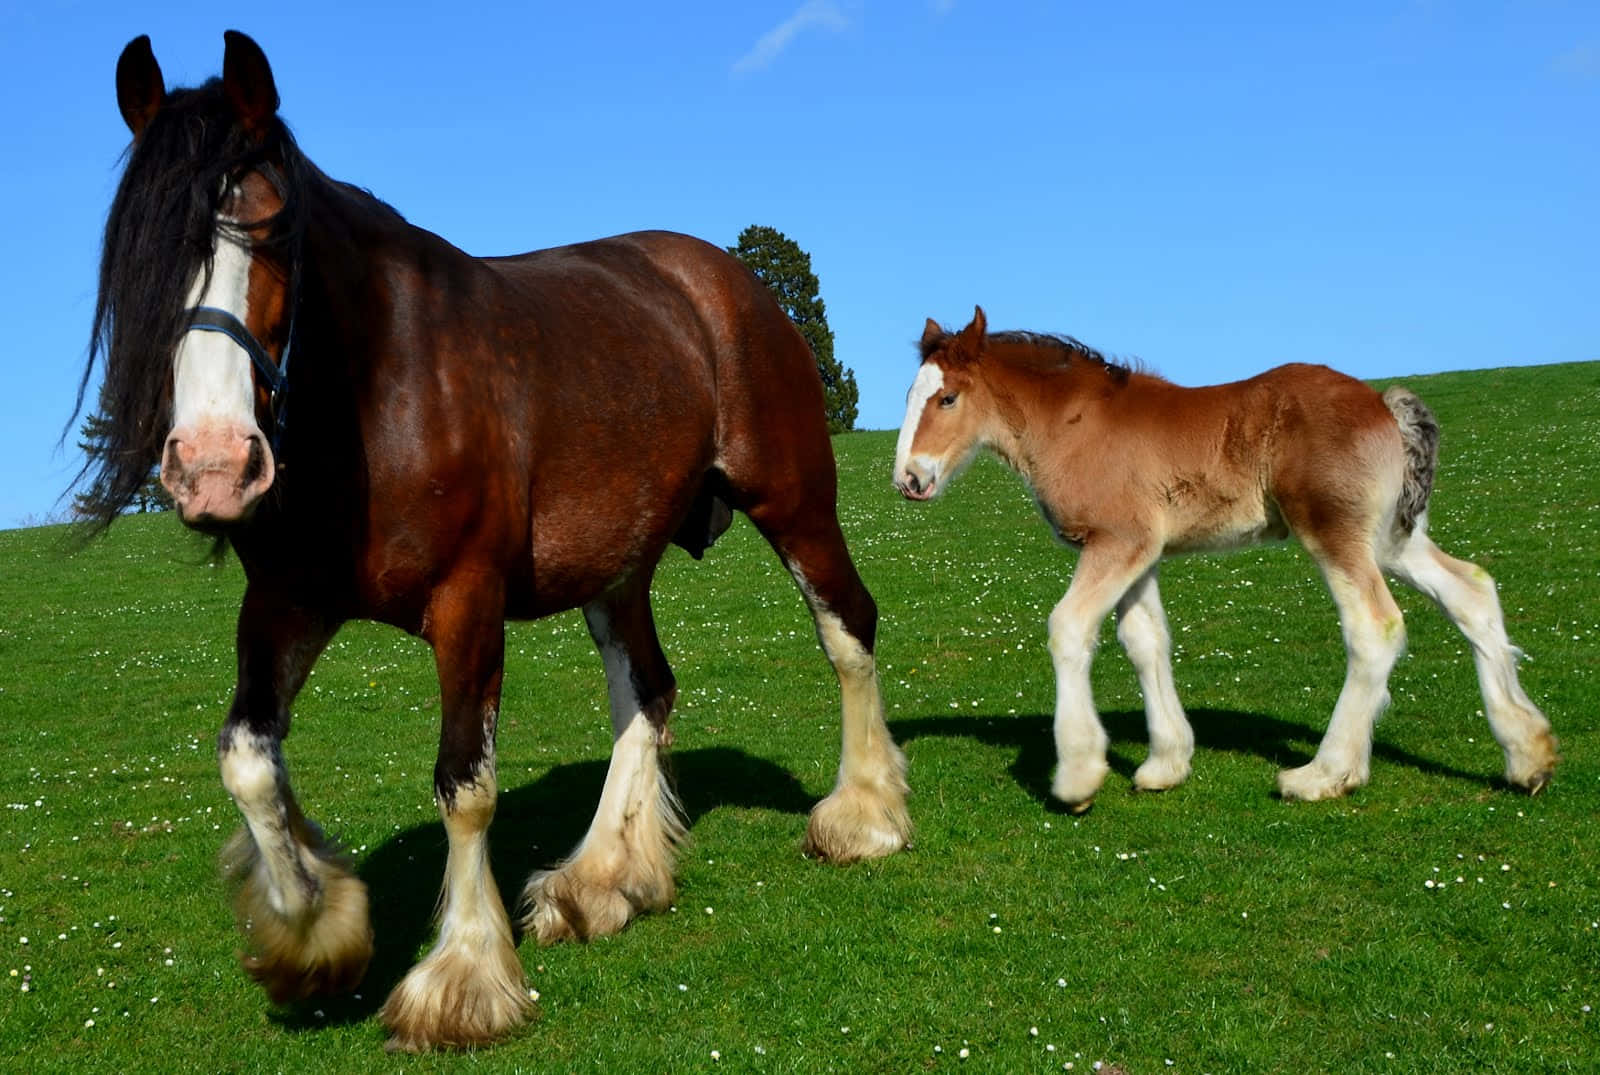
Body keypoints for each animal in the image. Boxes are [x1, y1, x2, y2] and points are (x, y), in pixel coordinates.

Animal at [75, 31, 911, 1052]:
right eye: (143, 254)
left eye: (270, 233)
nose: (213, 465)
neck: (380, 391)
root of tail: (726, 281)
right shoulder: (284, 603)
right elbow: (247, 758)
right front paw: (314, 924)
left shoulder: (468, 601)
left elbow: (464, 784)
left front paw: (463, 979)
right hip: (618, 567)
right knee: (648, 690)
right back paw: (603, 880)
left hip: (792, 500)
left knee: (846, 628)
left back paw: (863, 816)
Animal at [893, 306, 1557, 810]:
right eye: (909, 395)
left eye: (947, 398)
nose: (909, 479)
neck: (1073, 425)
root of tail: (1381, 405)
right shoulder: (1141, 552)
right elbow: (1146, 641)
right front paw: (1166, 764)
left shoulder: (1116, 542)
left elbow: (1068, 629)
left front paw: (1078, 774)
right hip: (1391, 538)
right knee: (1471, 590)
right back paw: (1529, 755)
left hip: (1336, 534)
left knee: (1375, 627)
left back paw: (1324, 775)